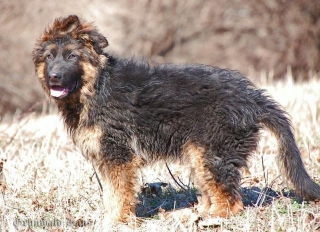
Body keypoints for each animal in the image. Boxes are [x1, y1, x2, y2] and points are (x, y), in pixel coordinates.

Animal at [33, 14, 320, 225]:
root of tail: (254, 98)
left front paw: (117, 221)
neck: (96, 87)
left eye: (72, 56)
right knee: (214, 192)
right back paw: (194, 214)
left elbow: (119, 193)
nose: (54, 77)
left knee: (231, 201)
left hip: (213, 152)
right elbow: (111, 194)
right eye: (49, 57)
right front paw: (111, 218)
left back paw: (211, 219)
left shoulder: (118, 155)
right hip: (200, 153)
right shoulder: (107, 157)